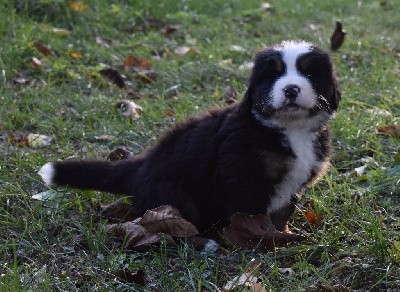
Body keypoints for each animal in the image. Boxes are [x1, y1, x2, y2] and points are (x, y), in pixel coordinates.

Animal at [39, 40, 340, 234]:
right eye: (273, 74)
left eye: (309, 72)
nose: (291, 89)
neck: (290, 129)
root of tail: (141, 165)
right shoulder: (244, 176)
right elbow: (253, 216)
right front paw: (263, 241)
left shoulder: (292, 184)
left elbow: (281, 214)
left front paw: (284, 235)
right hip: (174, 195)